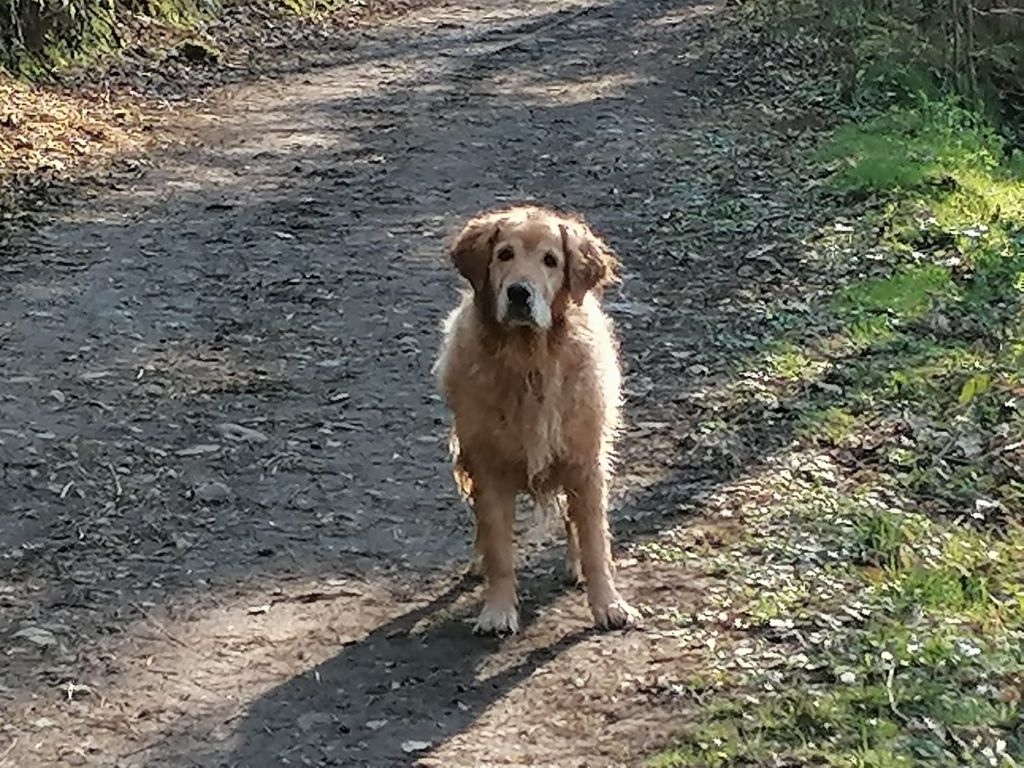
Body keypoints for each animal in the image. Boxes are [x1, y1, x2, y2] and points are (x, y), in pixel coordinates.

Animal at [434, 204, 638, 638]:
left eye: (550, 260)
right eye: (504, 255)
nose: (518, 293)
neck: (529, 359)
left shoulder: (585, 464)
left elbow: (596, 542)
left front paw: (609, 605)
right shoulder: (488, 467)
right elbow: (499, 548)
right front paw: (497, 609)